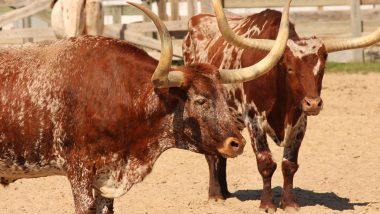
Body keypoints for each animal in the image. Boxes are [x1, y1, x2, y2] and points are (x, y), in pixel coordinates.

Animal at [183, 0, 380, 211]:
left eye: (322, 68)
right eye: (290, 68)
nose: (313, 103)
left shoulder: (300, 123)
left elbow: (289, 165)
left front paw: (289, 203)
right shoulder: (253, 119)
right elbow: (266, 163)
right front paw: (267, 204)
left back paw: (226, 192)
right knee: (212, 155)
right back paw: (215, 195)